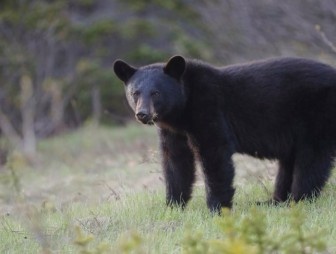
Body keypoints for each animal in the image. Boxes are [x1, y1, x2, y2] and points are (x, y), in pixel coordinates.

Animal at [113, 55, 336, 212]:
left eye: (156, 93)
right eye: (135, 93)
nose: (142, 114)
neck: (183, 108)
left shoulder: (209, 108)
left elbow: (214, 154)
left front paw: (217, 208)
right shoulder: (173, 131)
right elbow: (176, 161)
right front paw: (173, 206)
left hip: (318, 114)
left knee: (311, 159)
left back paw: (298, 200)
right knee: (290, 162)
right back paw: (273, 201)